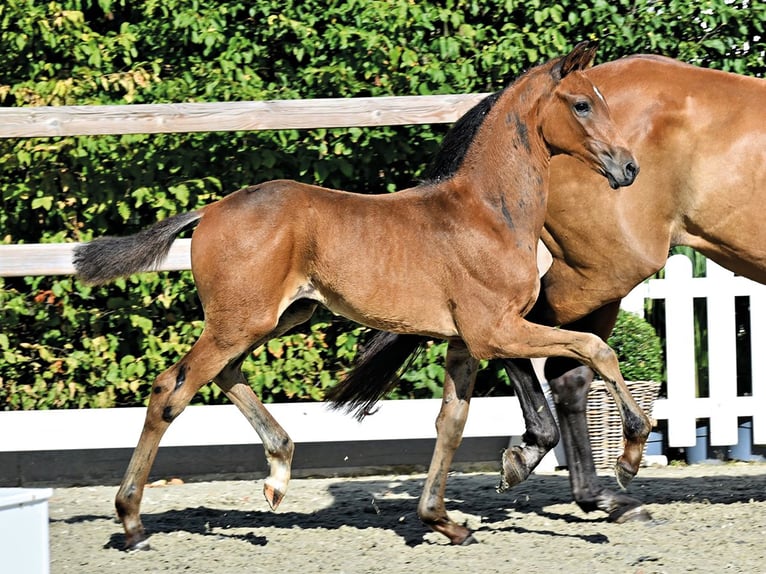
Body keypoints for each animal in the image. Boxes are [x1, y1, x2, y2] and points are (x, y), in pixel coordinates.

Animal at [73, 41, 644, 549]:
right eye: (582, 103)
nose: (629, 168)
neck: (489, 212)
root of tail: (210, 210)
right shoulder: (494, 332)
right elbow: (596, 349)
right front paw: (628, 457)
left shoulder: (466, 343)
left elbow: (451, 424)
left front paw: (444, 520)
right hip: (240, 321)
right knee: (171, 389)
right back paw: (132, 522)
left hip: (277, 317)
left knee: (223, 374)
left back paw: (277, 474)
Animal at [330, 53, 766, 526]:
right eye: (582, 105)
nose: (628, 167)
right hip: (603, 270)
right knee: (543, 351)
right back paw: (565, 462)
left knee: (565, 367)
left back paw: (587, 487)